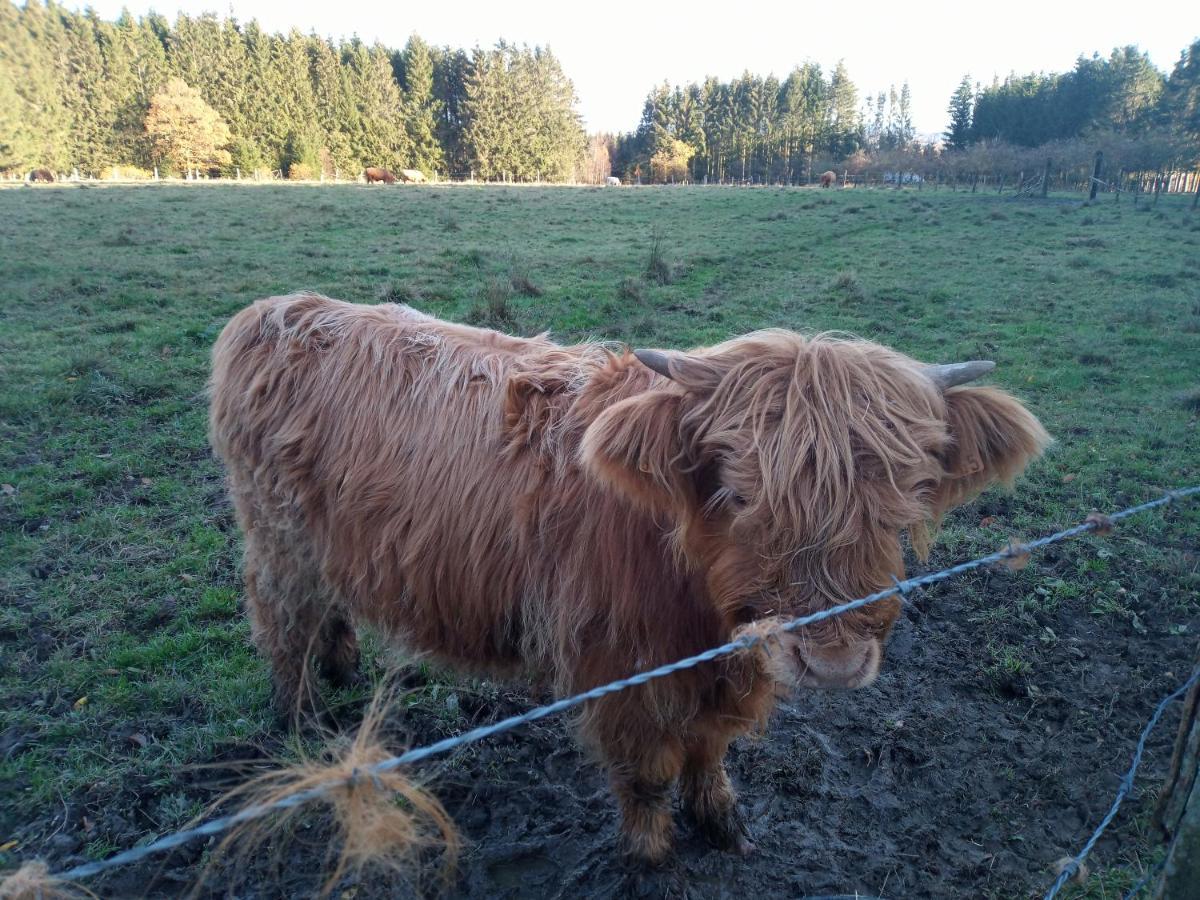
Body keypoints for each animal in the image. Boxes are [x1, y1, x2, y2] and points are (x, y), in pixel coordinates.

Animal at [208, 292, 1051, 864]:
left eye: (905, 494)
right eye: (738, 494)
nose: (834, 658)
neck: (699, 607)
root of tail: (279, 309)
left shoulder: (721, 672)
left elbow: (710, 752)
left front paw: (723, 819)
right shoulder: (618, 667)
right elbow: (648, 771)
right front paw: (652, 853)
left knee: (325, 608)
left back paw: (342, 663)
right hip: (278, 538)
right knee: (280, 619)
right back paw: (303, 719)